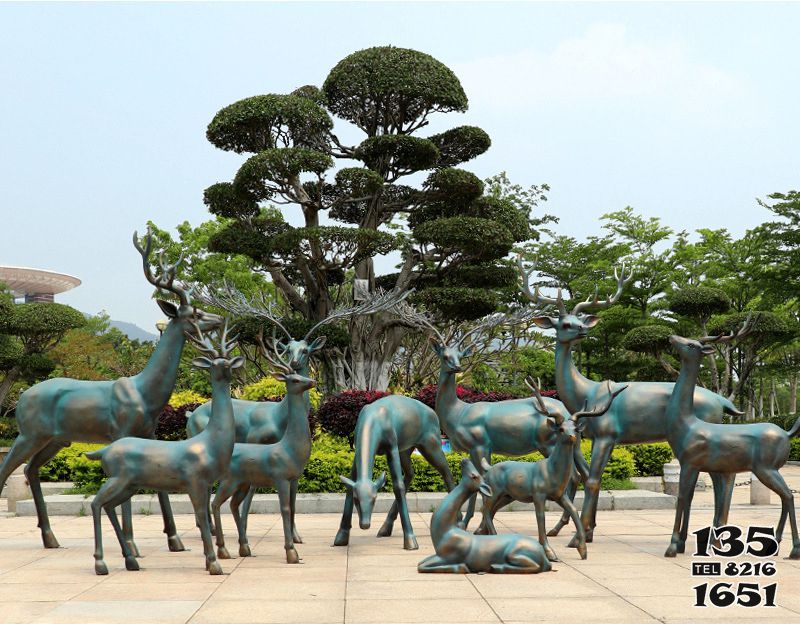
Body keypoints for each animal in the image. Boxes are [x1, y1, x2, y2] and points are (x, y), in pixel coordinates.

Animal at [0, 229, 220, 552]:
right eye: (193, 314)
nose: (218, 319)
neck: (145, 394)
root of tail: (22, 396)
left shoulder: (148, 433)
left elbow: (159, 487)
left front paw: (175, 540)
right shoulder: (121, 431)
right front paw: (131, 544)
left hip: (56, 439)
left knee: (30, 470)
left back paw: (51, 538)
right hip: (29, 433)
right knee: (7, 469)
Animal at [88, 322, 242, 576]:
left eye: (228, 360)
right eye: (214, 364)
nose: (228, 368)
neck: (210, 442)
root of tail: (103, 451)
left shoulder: (206, 484)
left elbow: (204, 516)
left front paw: (210, 560)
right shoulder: (195, 482)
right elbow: (201, 517)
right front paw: (214, 564)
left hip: (130, 486)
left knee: (108, 506)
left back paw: (131, 561)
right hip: (118, 479)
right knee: (96, 503)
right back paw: (101, 564)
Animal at [520, 256, 740, 544]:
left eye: (579, 320)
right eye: (565, 324)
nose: (582, 330)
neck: (585, 393)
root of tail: (723, 402)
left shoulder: (607, 433)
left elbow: (593, 479)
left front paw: (579, 536)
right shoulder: (594, 435)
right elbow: (588, 476)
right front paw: (588, 530)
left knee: (722, 478)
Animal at [664, 320, 800, 560]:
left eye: (691, 344)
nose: (671, 337)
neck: (687, 424)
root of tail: (787, 433)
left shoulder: (689, 463)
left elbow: (681, 498)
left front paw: (671, 547)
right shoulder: (699, 467)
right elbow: (689, 499)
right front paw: (681, 545)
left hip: (766, 469)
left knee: (788, 496)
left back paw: (793, 550)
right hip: (769, 470)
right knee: (786, 497)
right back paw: (774, 545)